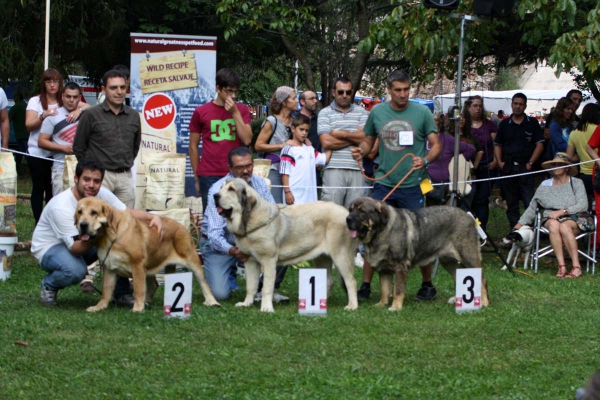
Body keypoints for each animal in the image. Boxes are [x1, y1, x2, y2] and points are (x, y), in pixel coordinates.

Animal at [344, 198, 490, 310]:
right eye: (350, 210)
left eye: (362, 211)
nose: (348, 218)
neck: (380, 232)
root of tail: (470, 217)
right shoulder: (384, 270)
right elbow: (384, 289)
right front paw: (381, 304)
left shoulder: (400, 267)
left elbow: (398, 290)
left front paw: (395, 307)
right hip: (448, 261)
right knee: (458, 277)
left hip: (468, 257)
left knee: (482, 279)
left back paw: (483, 302)